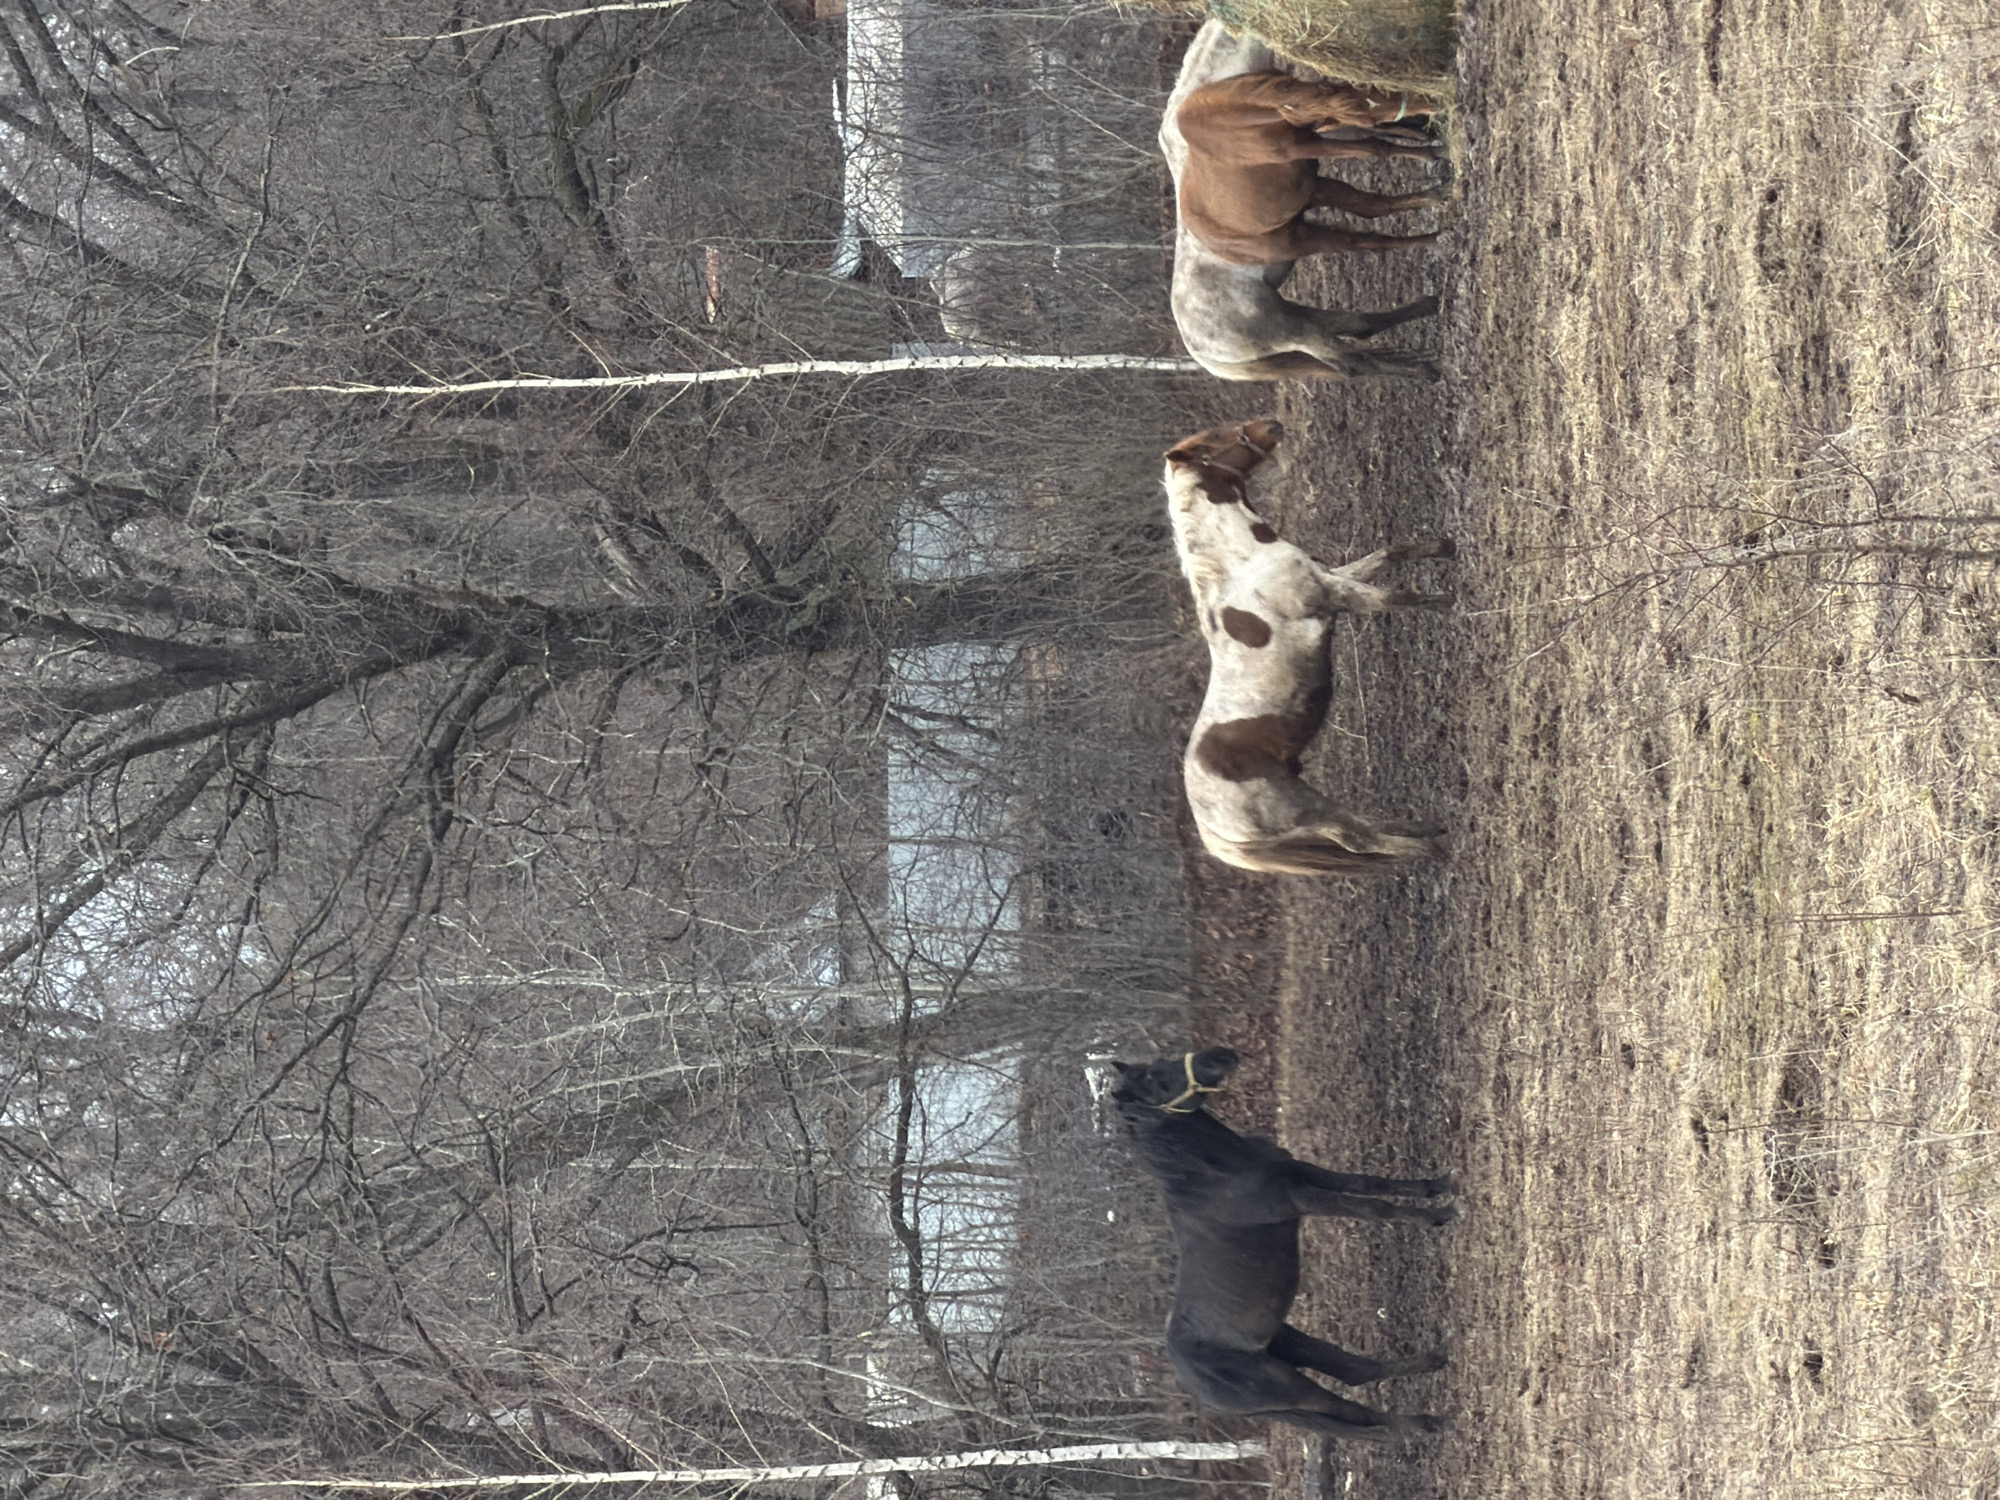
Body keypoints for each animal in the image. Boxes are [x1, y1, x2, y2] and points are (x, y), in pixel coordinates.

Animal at [1108, 1046, 1458, 1443]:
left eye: (1157, 1064)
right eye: (1154, 1082)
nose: (1218, 1055)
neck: (1212, 1178)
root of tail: (1194, 1388)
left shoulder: (1302, 1172)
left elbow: (1369, 1183)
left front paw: (1441, 1185)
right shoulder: (1301, 1198)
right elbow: (1373, 1208)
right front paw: (1441, 1215)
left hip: (1289, 1345)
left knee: (1355, 1373)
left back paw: (1438, 1359)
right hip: (1289, 1388)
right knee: (1356, 1417)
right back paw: (1429, 1423)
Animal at [1160, 21, 1444, 381]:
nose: (1434, 102)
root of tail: (1204, 353)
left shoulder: (1313, 173)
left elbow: (1376, 179)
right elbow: (1378, 148)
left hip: (1292, 307)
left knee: (1355, 322)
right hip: (1290, 324)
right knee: (1350, 362)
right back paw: (1423, 371)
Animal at [1167, 418, 1451, 876]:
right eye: (1213, 440)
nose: (1270, 424)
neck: (1242, 560)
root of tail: (1212, 830)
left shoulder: (1335, 577)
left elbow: (1390, 552)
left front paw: (1446, 547)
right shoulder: (1335, 595)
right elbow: (1400, 598)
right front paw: (1453, 602)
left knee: (1361, 827)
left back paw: (1425, 827)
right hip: (1301, 810)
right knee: (1358, 838)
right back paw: (1433, 850)